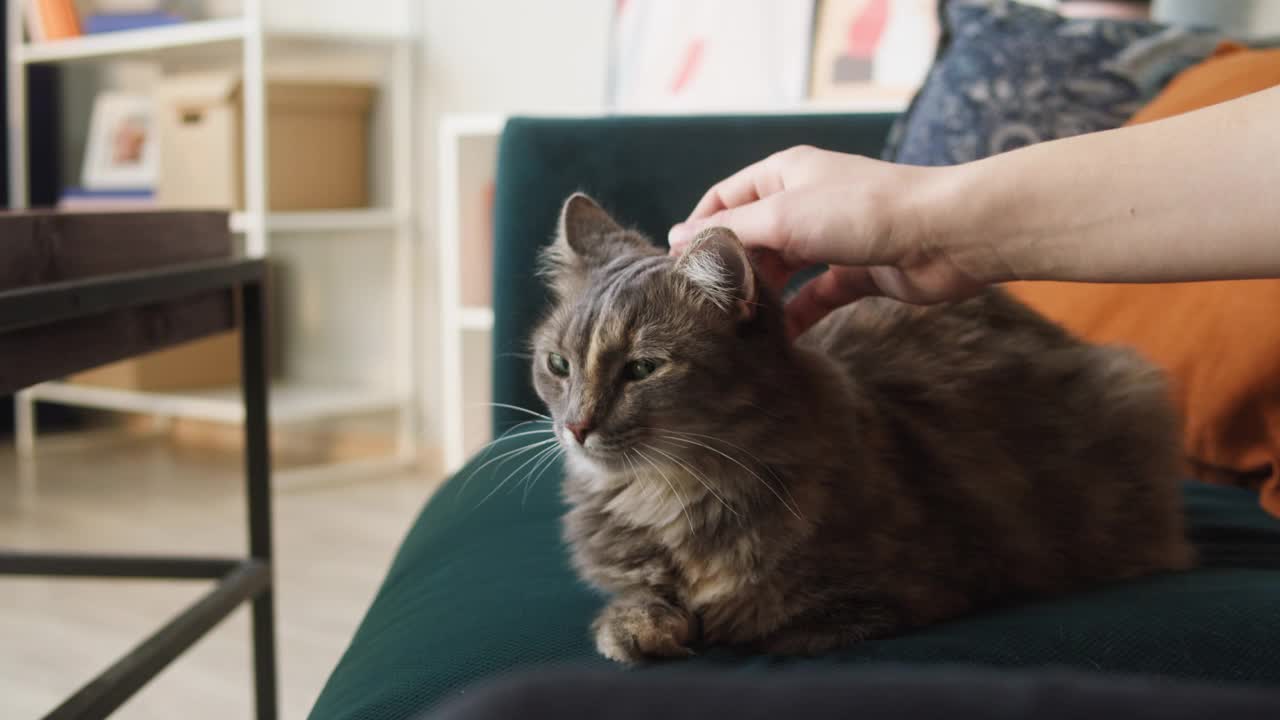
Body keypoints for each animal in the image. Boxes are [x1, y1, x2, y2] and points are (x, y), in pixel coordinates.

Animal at [527, 192, 1187, 661]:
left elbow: (772, 624)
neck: (668, 493)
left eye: (642, 369)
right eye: (558, 365)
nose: (576, 426)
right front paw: (640, 624)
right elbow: (637, 600)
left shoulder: (911, 588)